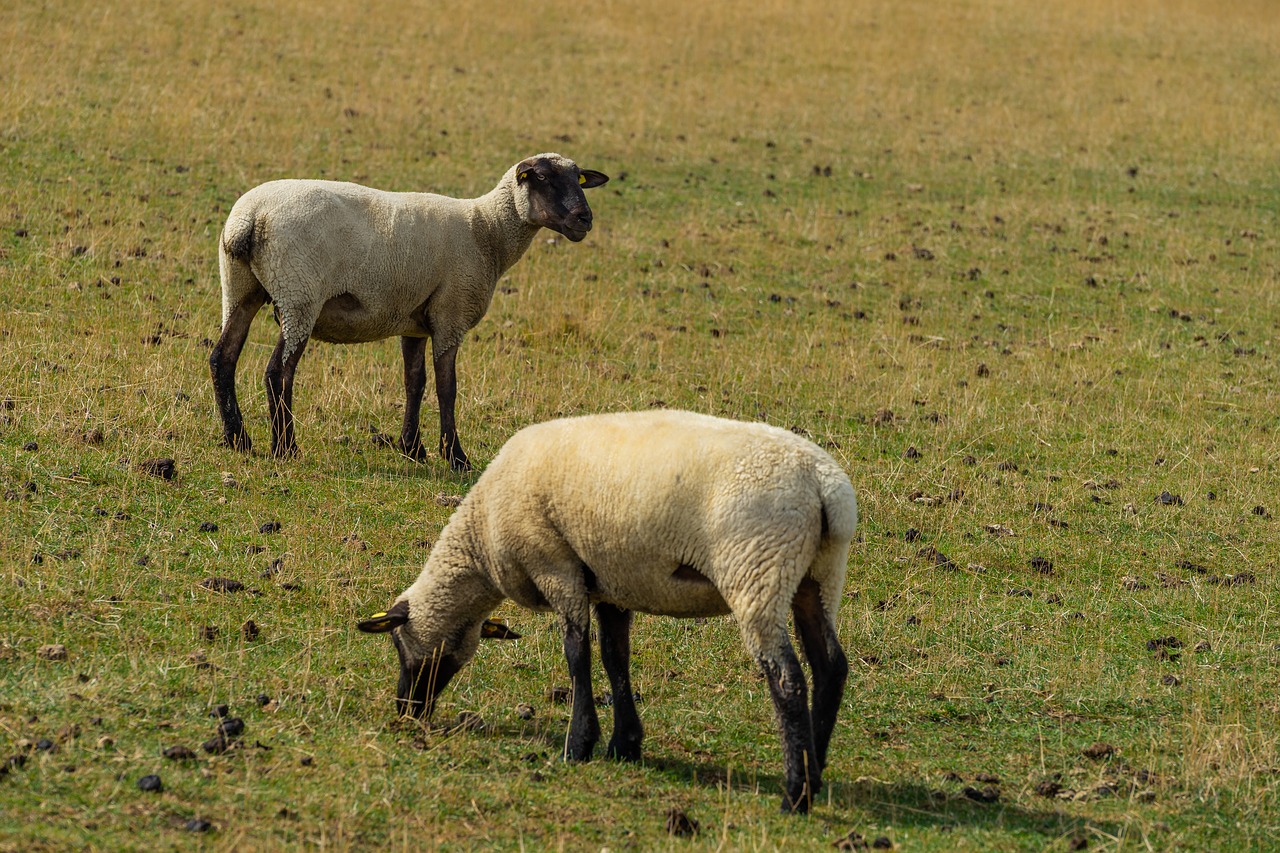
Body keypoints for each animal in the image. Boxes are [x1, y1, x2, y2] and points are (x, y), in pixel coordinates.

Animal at [209, 153, 609, 471]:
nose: (584, 219)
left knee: (222, 357)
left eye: (579, 179)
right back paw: (285, 447)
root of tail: (249, 219)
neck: (486, 230)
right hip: (299, 294)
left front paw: (412, 448)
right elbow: (447, 387)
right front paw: (455, 456)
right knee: (278, 372)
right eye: (541, 178)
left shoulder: (414, 321)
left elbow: (414, 382)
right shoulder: (451, 312)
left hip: (240, 287)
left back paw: (238, 439)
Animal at [358, 409, 860, 814]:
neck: (482, 535)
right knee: (830, 666)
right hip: (818, 574)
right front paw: (624, 744)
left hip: (758, 569)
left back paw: (795, 795)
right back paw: (815, 769)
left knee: (787, 677)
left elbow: (576, 653)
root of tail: (824, 484)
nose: (408, 711)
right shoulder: (611, 583)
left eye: (399, 644)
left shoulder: (555, 565)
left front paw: (578, 744)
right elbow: (615, 659)